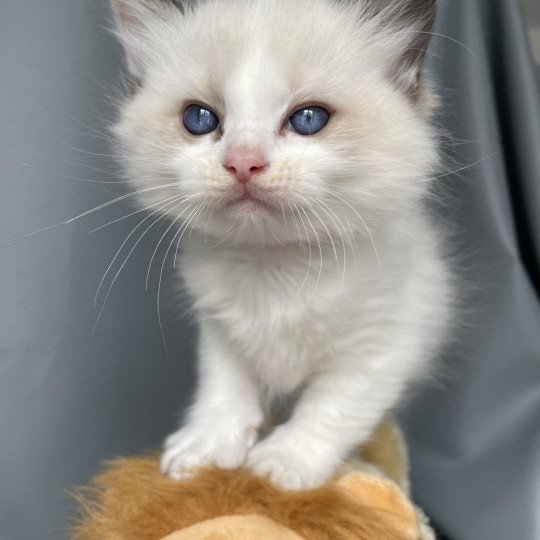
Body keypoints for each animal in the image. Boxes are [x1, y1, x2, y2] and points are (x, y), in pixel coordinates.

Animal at [108, 0, 452, 490]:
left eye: (308, 120)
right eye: (199, 119)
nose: (243, 163)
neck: (275, 263)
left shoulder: (382, 343)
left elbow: (331, 407)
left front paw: (280, 466)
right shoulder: (219, 330)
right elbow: (224, 387)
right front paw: (207, 448)